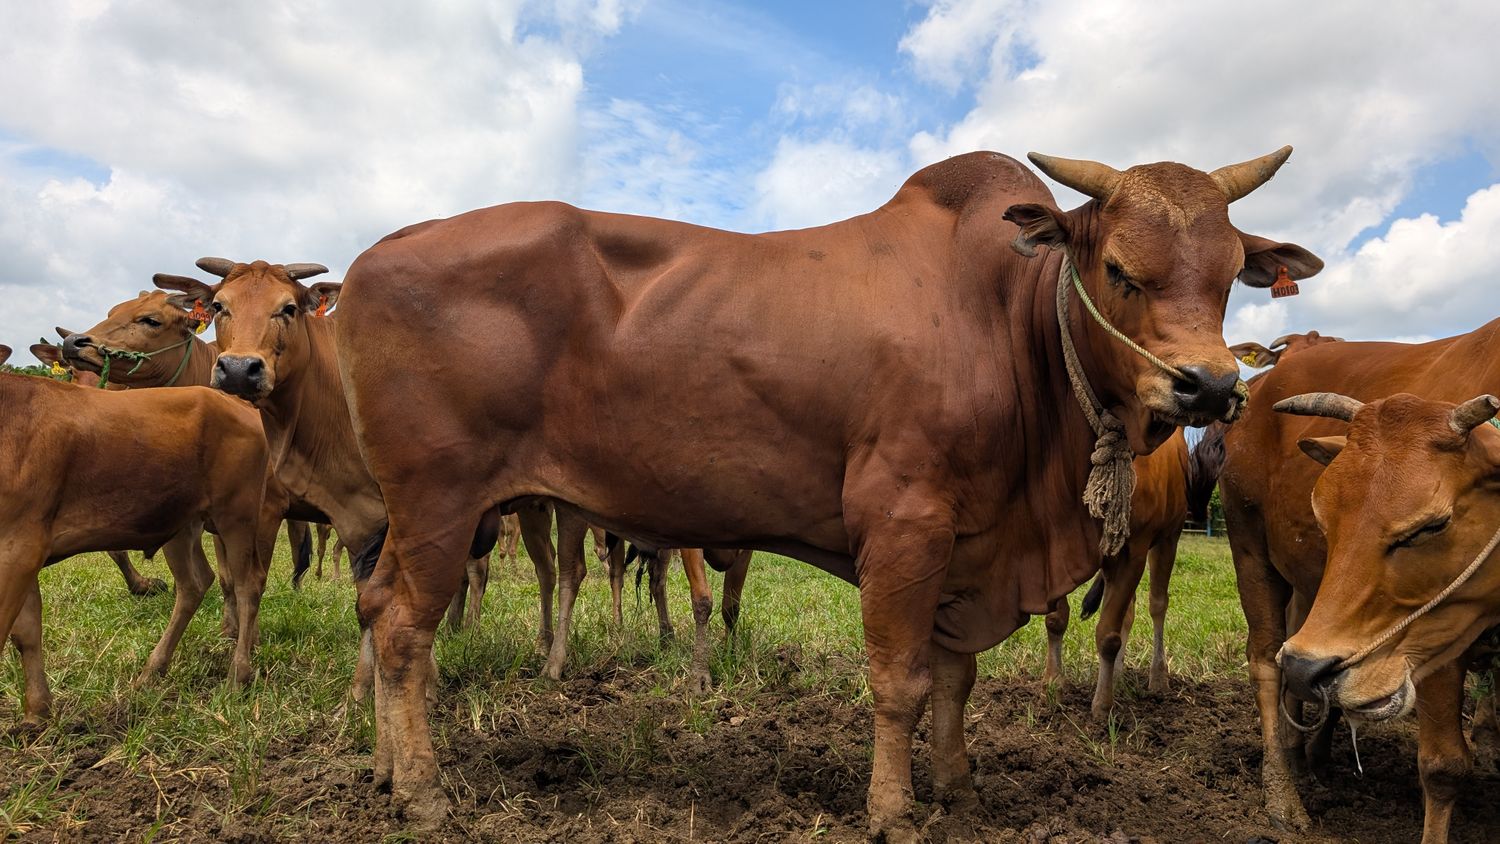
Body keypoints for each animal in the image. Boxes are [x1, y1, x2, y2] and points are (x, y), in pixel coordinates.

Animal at [0, 372, 275, 722]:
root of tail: (235, 404)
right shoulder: (25, 550)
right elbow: (26, 631)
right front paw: (38, 711)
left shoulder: (20, 546)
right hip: (181, 524)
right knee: (195, 583)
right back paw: (152, 670)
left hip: (236, 515)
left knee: (247, 585)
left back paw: (238, 674)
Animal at [1041, 429, 1199, 719]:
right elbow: (1056, 619)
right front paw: (1053, 683)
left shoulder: (1134, 551)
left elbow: (1108, 635)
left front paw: (1102, 706)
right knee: (1127, 610)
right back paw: (1116, 674)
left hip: (1169, 537)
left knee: (1157, 604)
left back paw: (1157, 678)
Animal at [1218, 328, 1500, 842]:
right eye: (1324, 520)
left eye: (1432, 525)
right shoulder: (1438, 638)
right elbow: (1443, 765)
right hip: (1250, 545)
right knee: (1269, 663)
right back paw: (1283, 796)